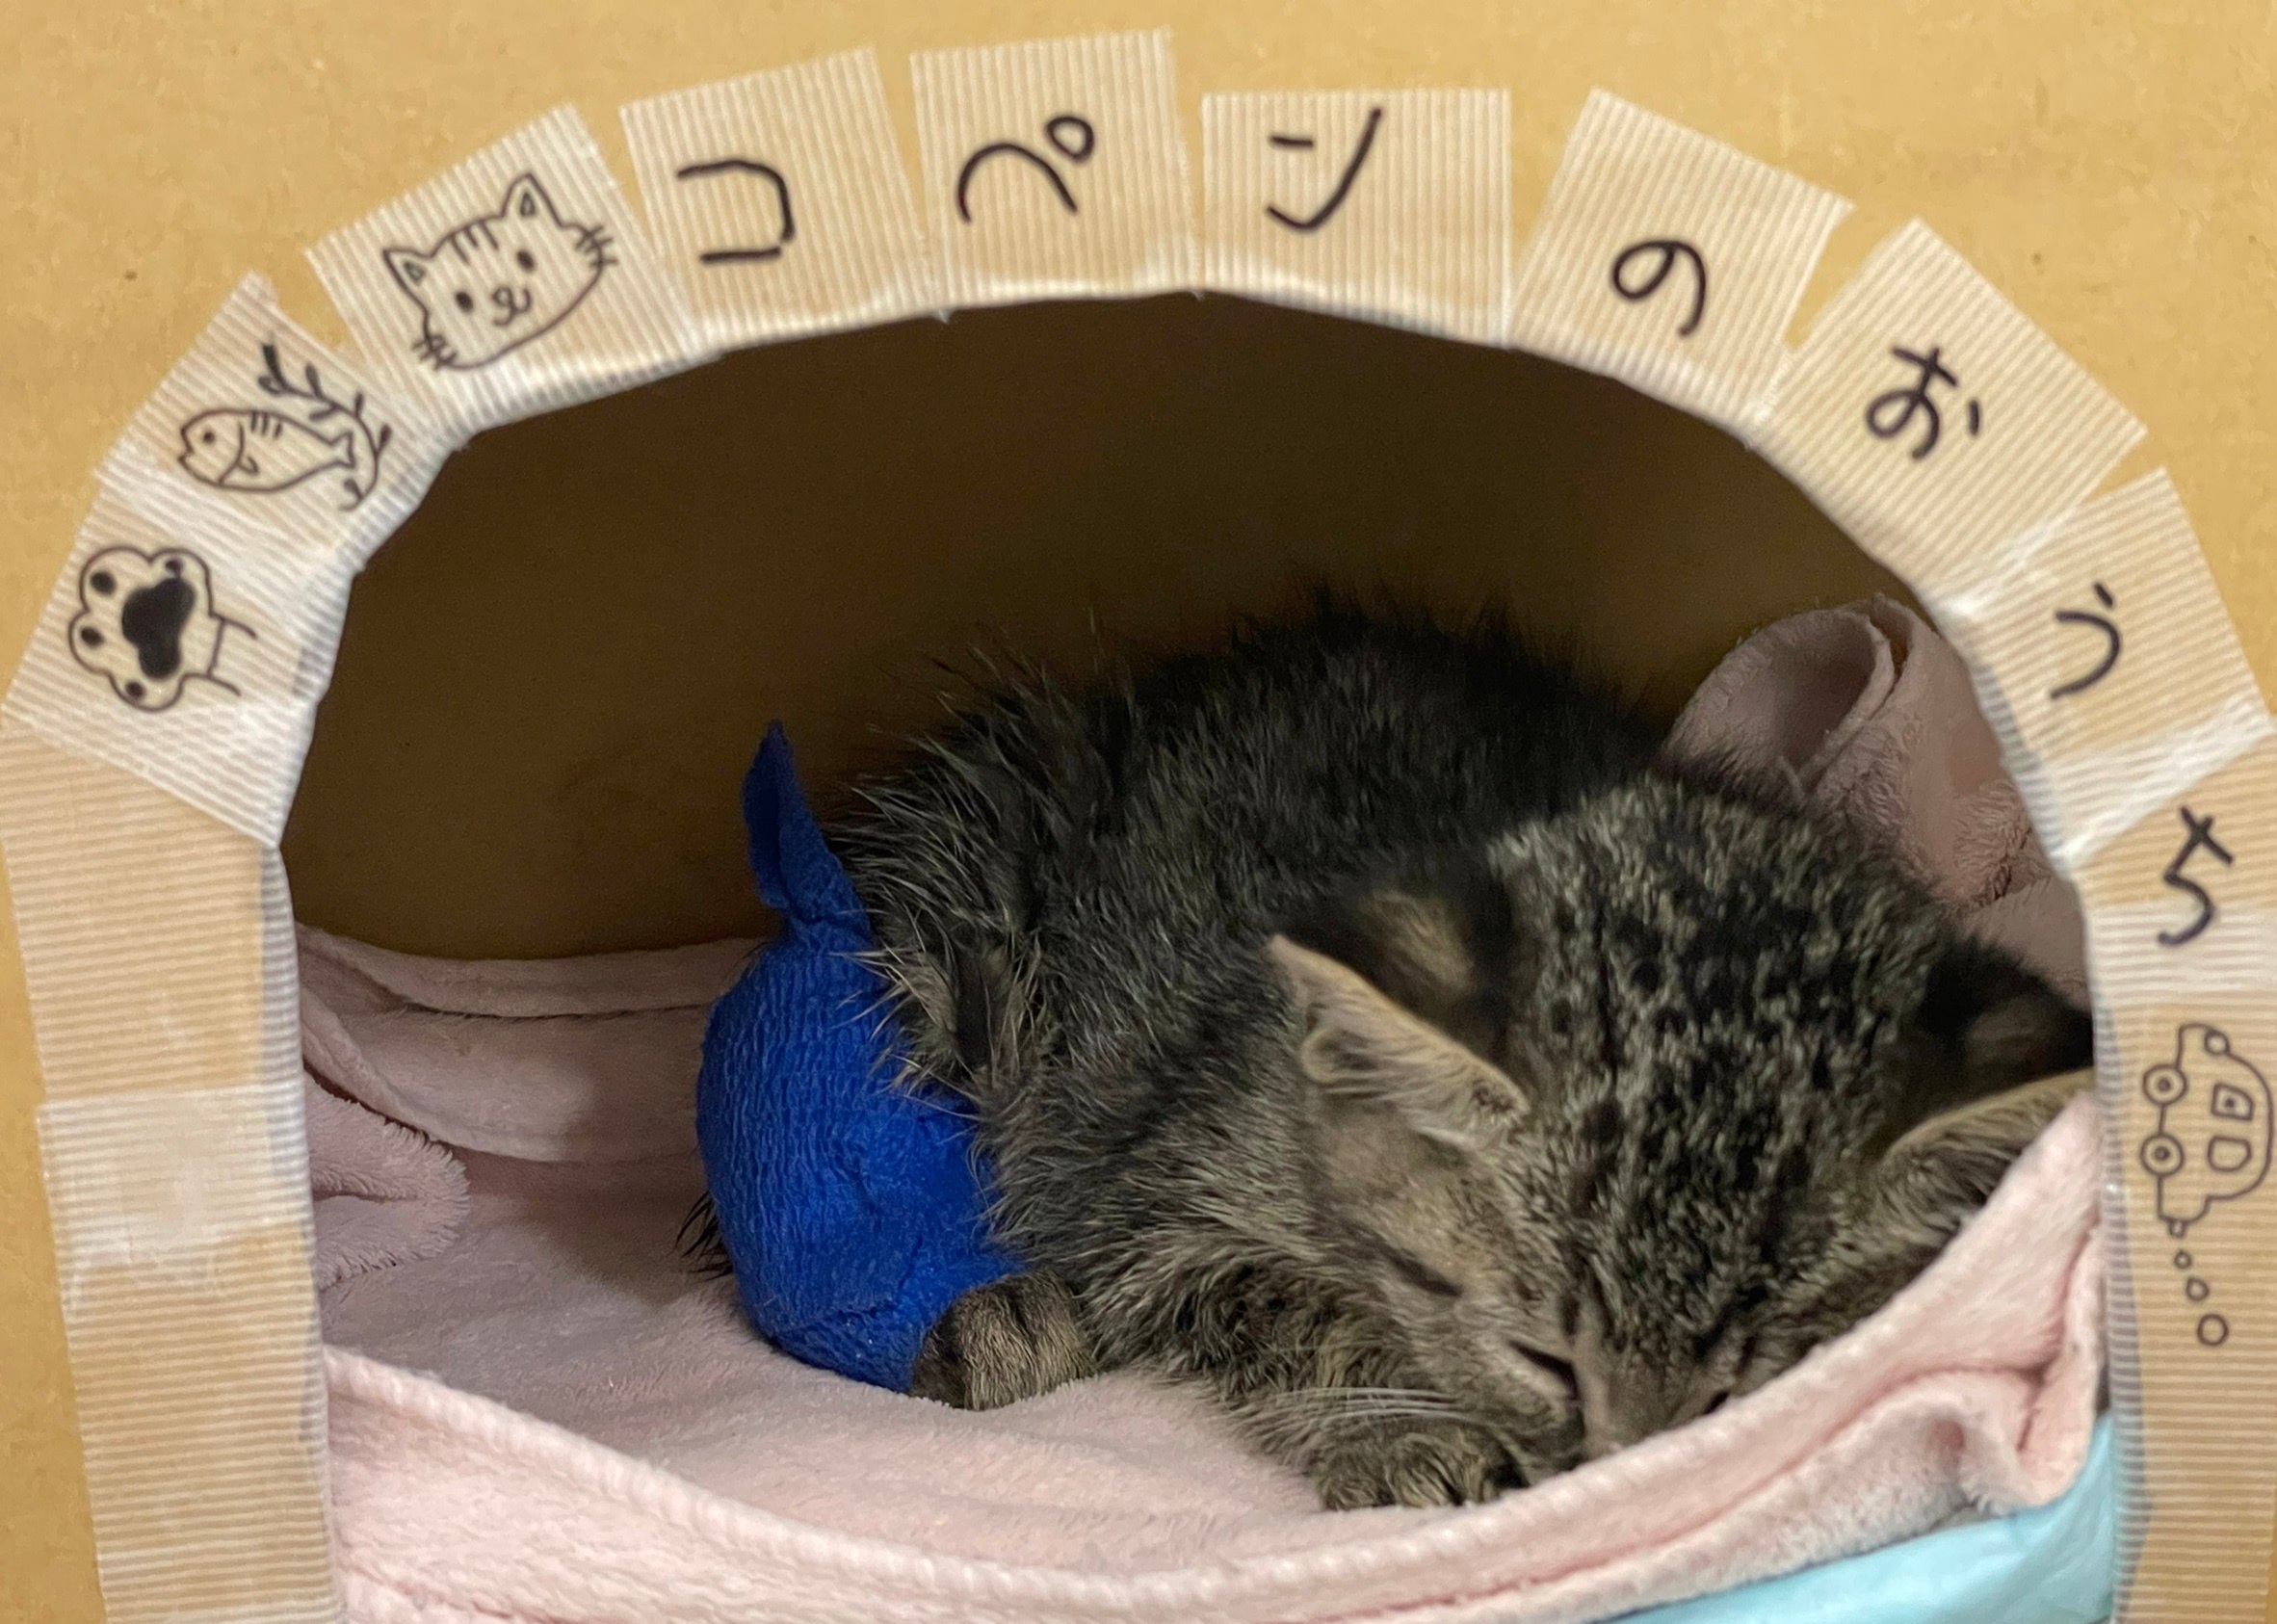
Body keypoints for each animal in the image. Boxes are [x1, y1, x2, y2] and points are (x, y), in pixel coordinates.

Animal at [700, 600, 2092, 1509]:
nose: (1630, 1487)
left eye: (1750, 1388)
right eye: (1543, 1356)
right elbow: (1283, 1307)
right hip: (969, 889)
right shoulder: (1149, 1194)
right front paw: (1407, 1433)